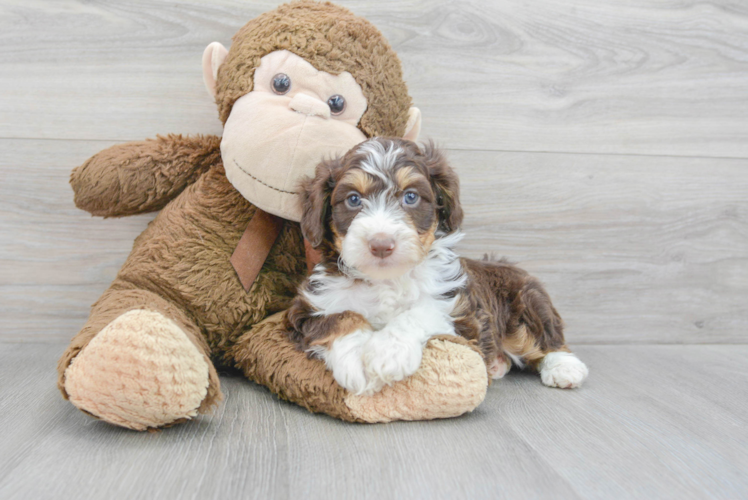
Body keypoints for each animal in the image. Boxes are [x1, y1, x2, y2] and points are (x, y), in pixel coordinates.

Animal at [284, 137, 588, 394]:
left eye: (410, 197)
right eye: (353, 200)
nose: (381, 244)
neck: (386, 279)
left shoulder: (461, 311)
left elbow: (422, 311)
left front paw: (387, 352)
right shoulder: (307, 308)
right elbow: (341, 317)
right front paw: (356, 361)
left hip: (526, 301)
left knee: (546, 338)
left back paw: (564, 367)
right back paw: (498, 363)